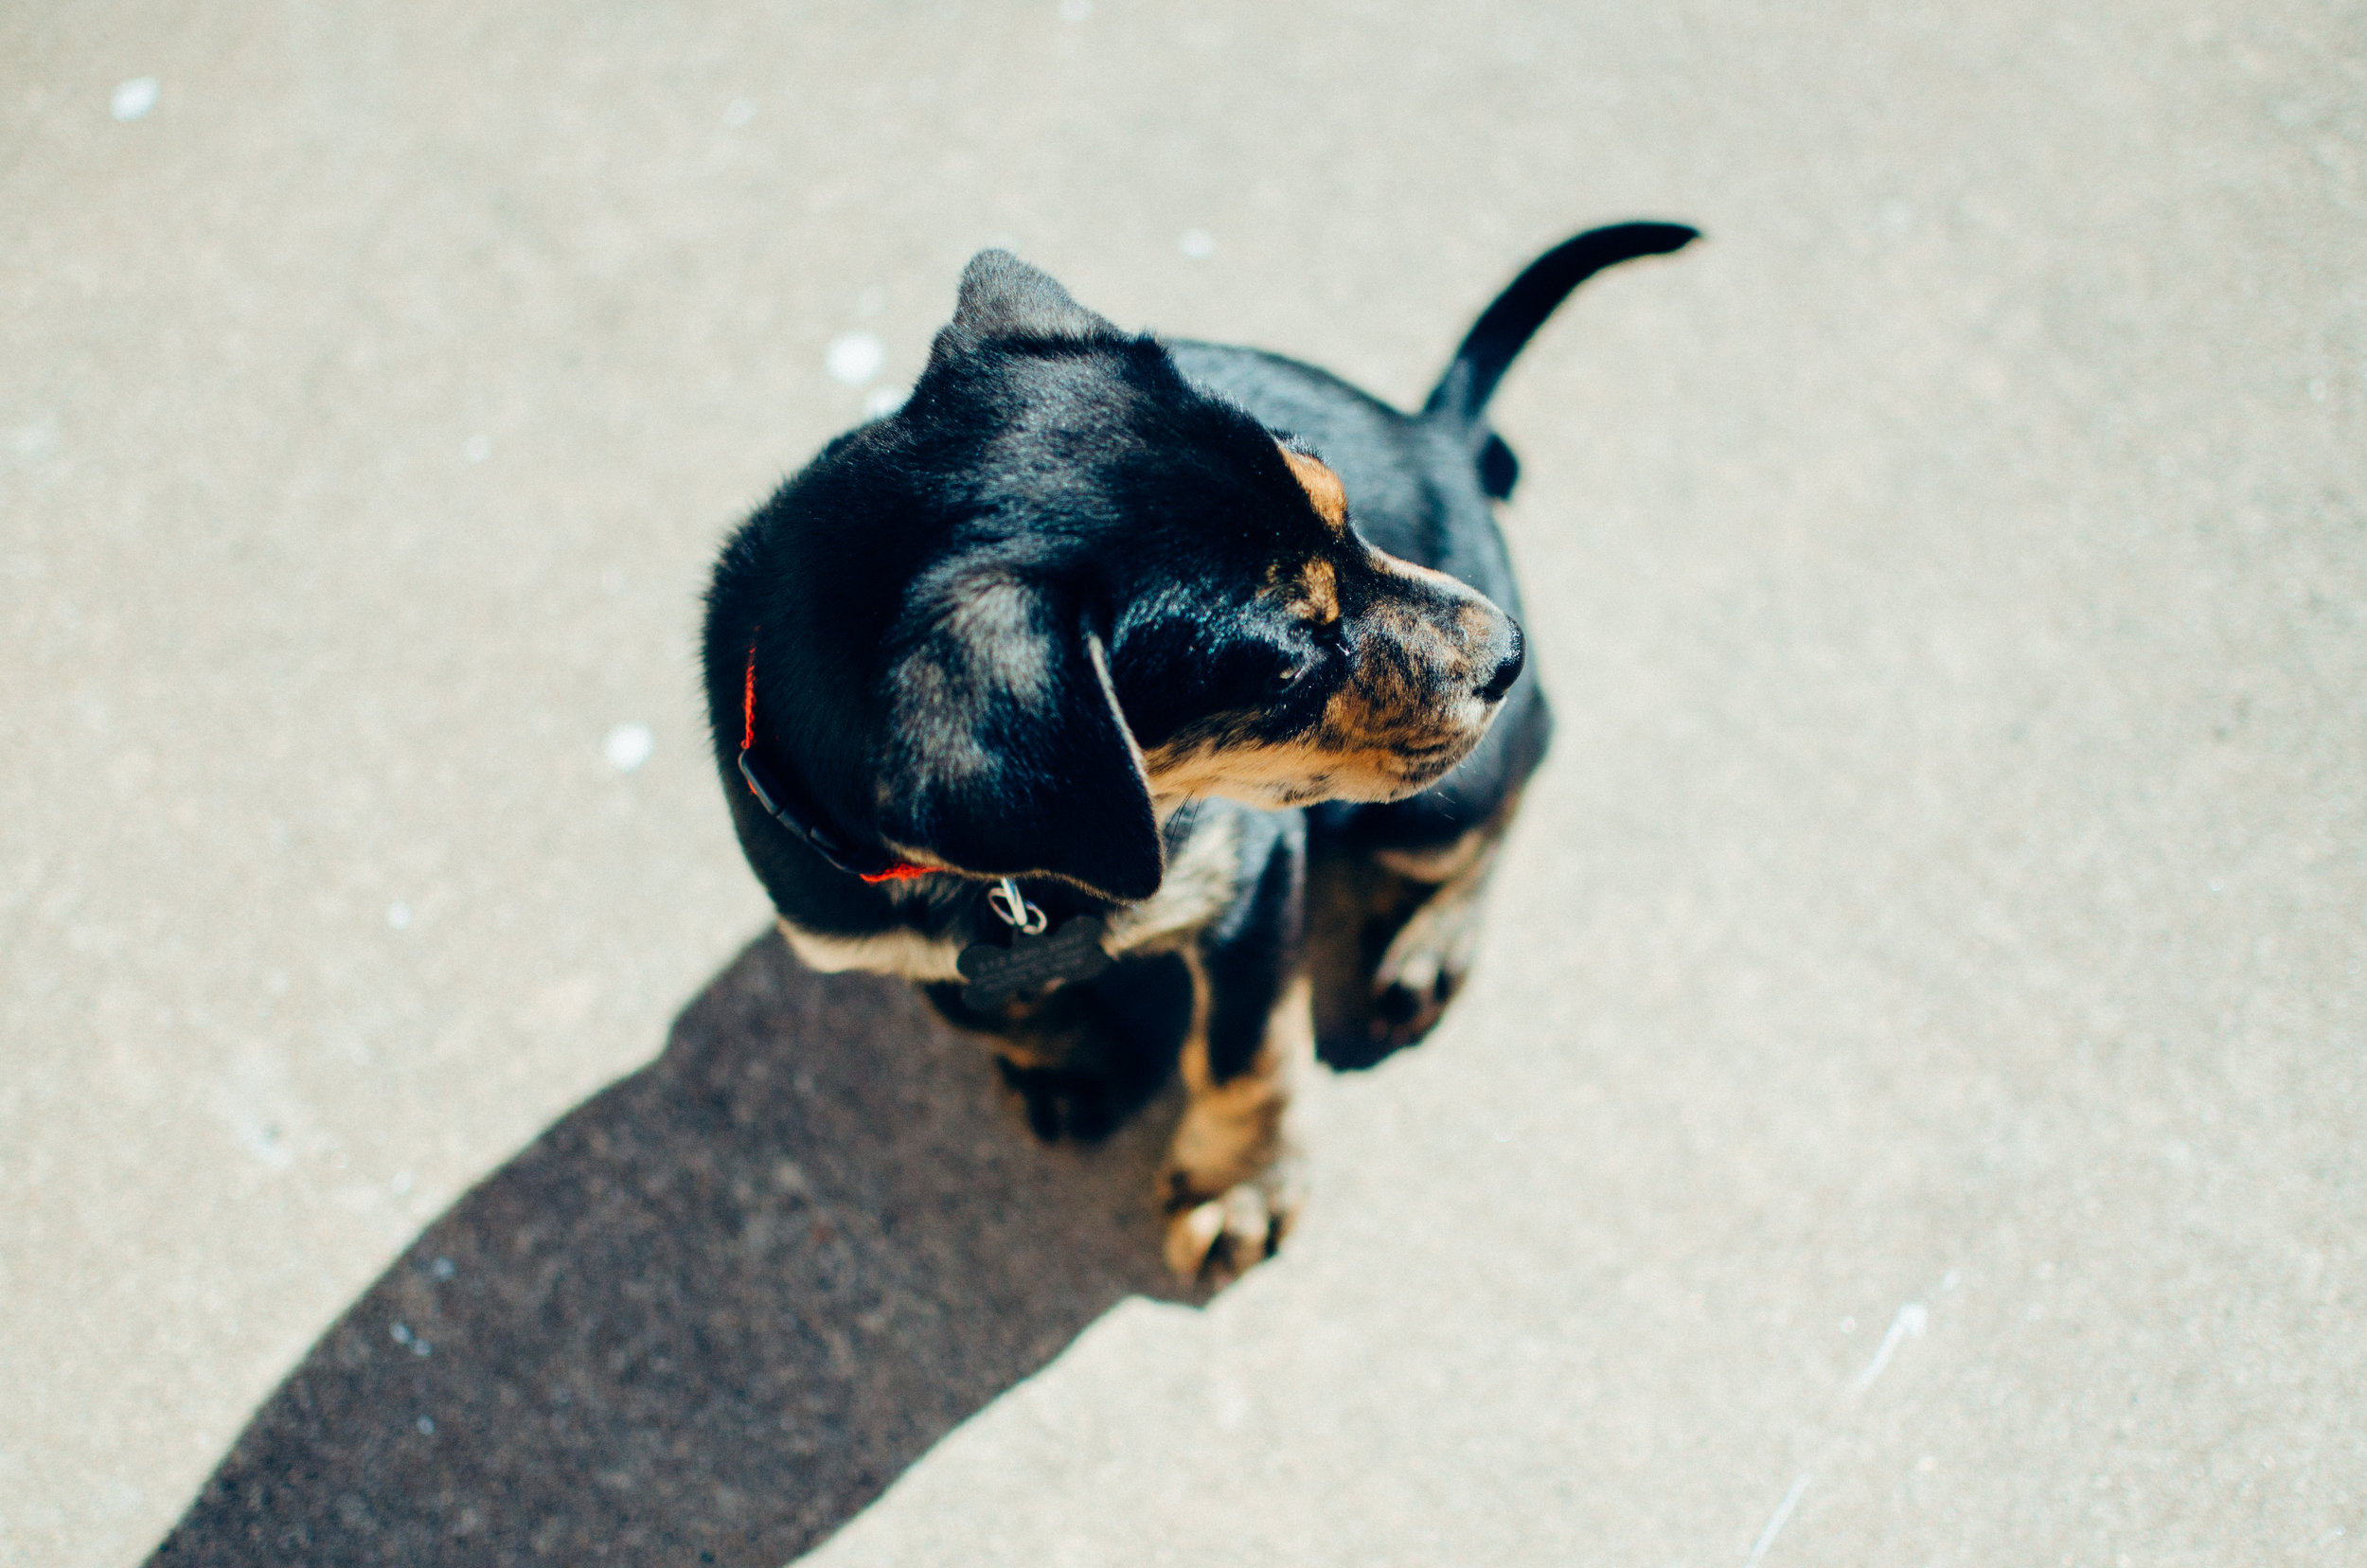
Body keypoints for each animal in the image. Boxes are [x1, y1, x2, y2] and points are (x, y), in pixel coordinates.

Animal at [701, 227, 1704, 1288]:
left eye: (1344, 509)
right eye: (1288, 663)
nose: (1506, 650)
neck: (1019, 882)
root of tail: (1438, 436)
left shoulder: (1253, 878)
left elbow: (1243, 1051)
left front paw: (1238, 1189)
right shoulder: (875, 936)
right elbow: (986, 1007)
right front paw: (1071, 1067)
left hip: (1432, 810)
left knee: (1508, 799)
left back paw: (1434, 942)